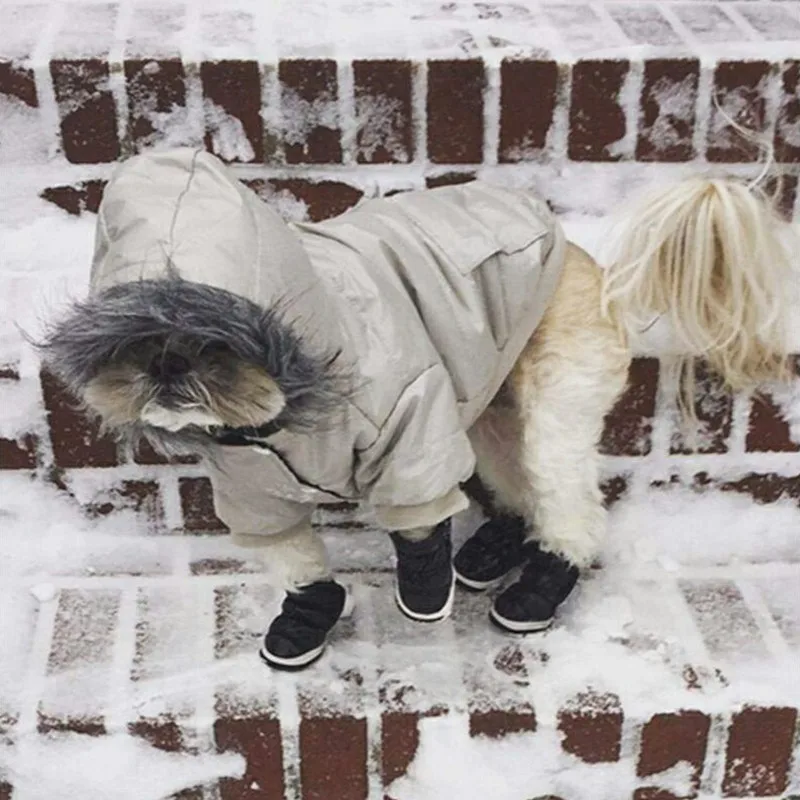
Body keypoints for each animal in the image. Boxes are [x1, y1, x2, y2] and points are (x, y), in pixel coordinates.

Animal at [40, 148, 796, 668]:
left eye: (216, 343)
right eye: (133, 343)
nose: (168, 366)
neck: (280, 416)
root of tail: (594, 269)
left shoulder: (410, 421)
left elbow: (420, 525)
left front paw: (425, 588)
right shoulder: (252, 487)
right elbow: (294, 556)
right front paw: (305, 618)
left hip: (553, 402)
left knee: (568, 502)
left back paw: (541, 583)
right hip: (493, 398)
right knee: (514, 479)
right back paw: (496, 548)